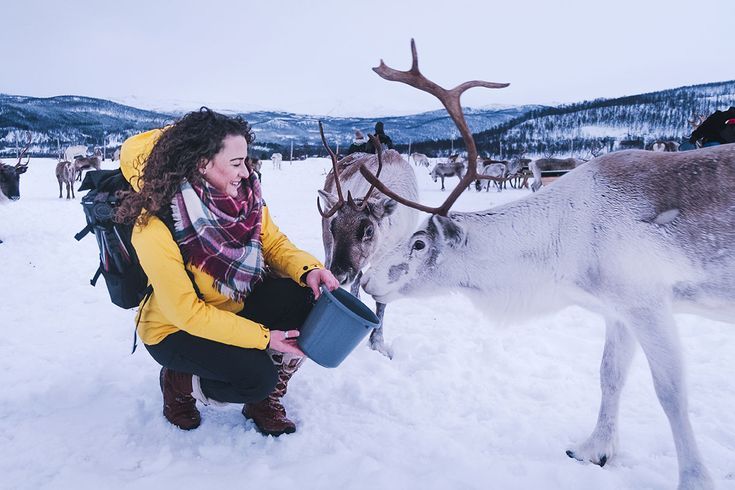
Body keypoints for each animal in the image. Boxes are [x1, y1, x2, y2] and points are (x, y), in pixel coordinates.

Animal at [357, 39, 731, 490]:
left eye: (418, 243)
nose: (367, 279)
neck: (562, 244)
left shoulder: (648, 302)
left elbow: (671, 393)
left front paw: (695, 479)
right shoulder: (618, 309)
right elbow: (609, 375)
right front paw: (594, 450)